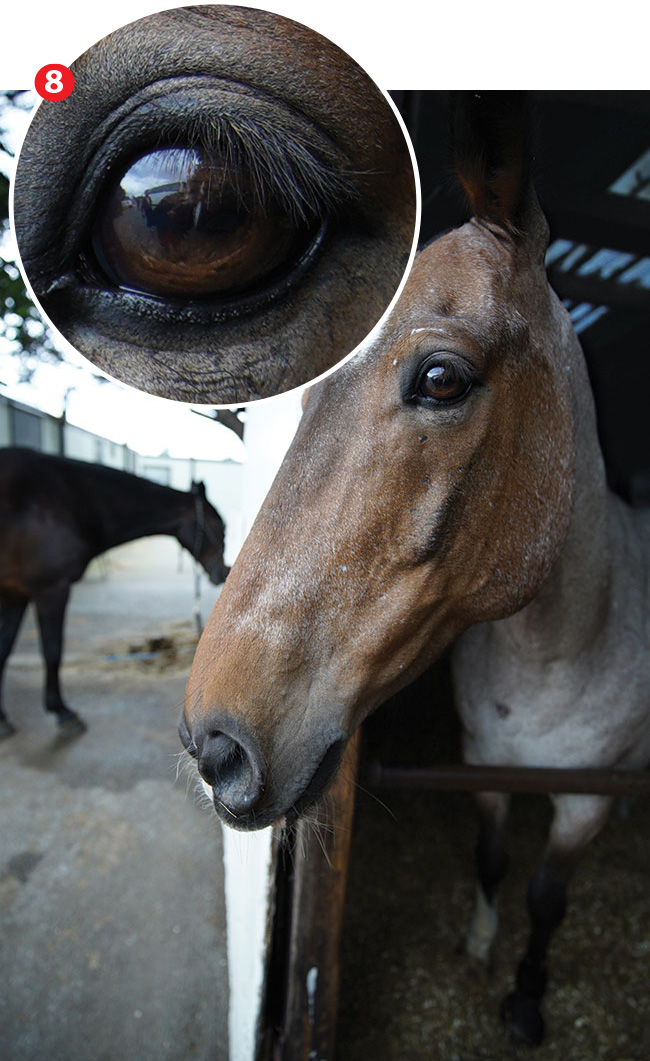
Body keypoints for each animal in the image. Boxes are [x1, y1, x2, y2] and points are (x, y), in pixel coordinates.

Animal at [0, 447, 229, 738]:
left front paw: (3, 718)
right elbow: (52, 650)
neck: (66, 500)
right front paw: (63, 712)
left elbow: (4, 649)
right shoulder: (50, 589)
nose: (223, 572)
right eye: (218, 526)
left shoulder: (15, 594)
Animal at [182, 95, 648, 1048]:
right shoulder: (486, 772)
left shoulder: (581, 805)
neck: (557, 653)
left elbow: (548, 895)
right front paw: (478, 945)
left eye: (440, 378)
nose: (214, 748)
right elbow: (494, 859)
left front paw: (525, 998)